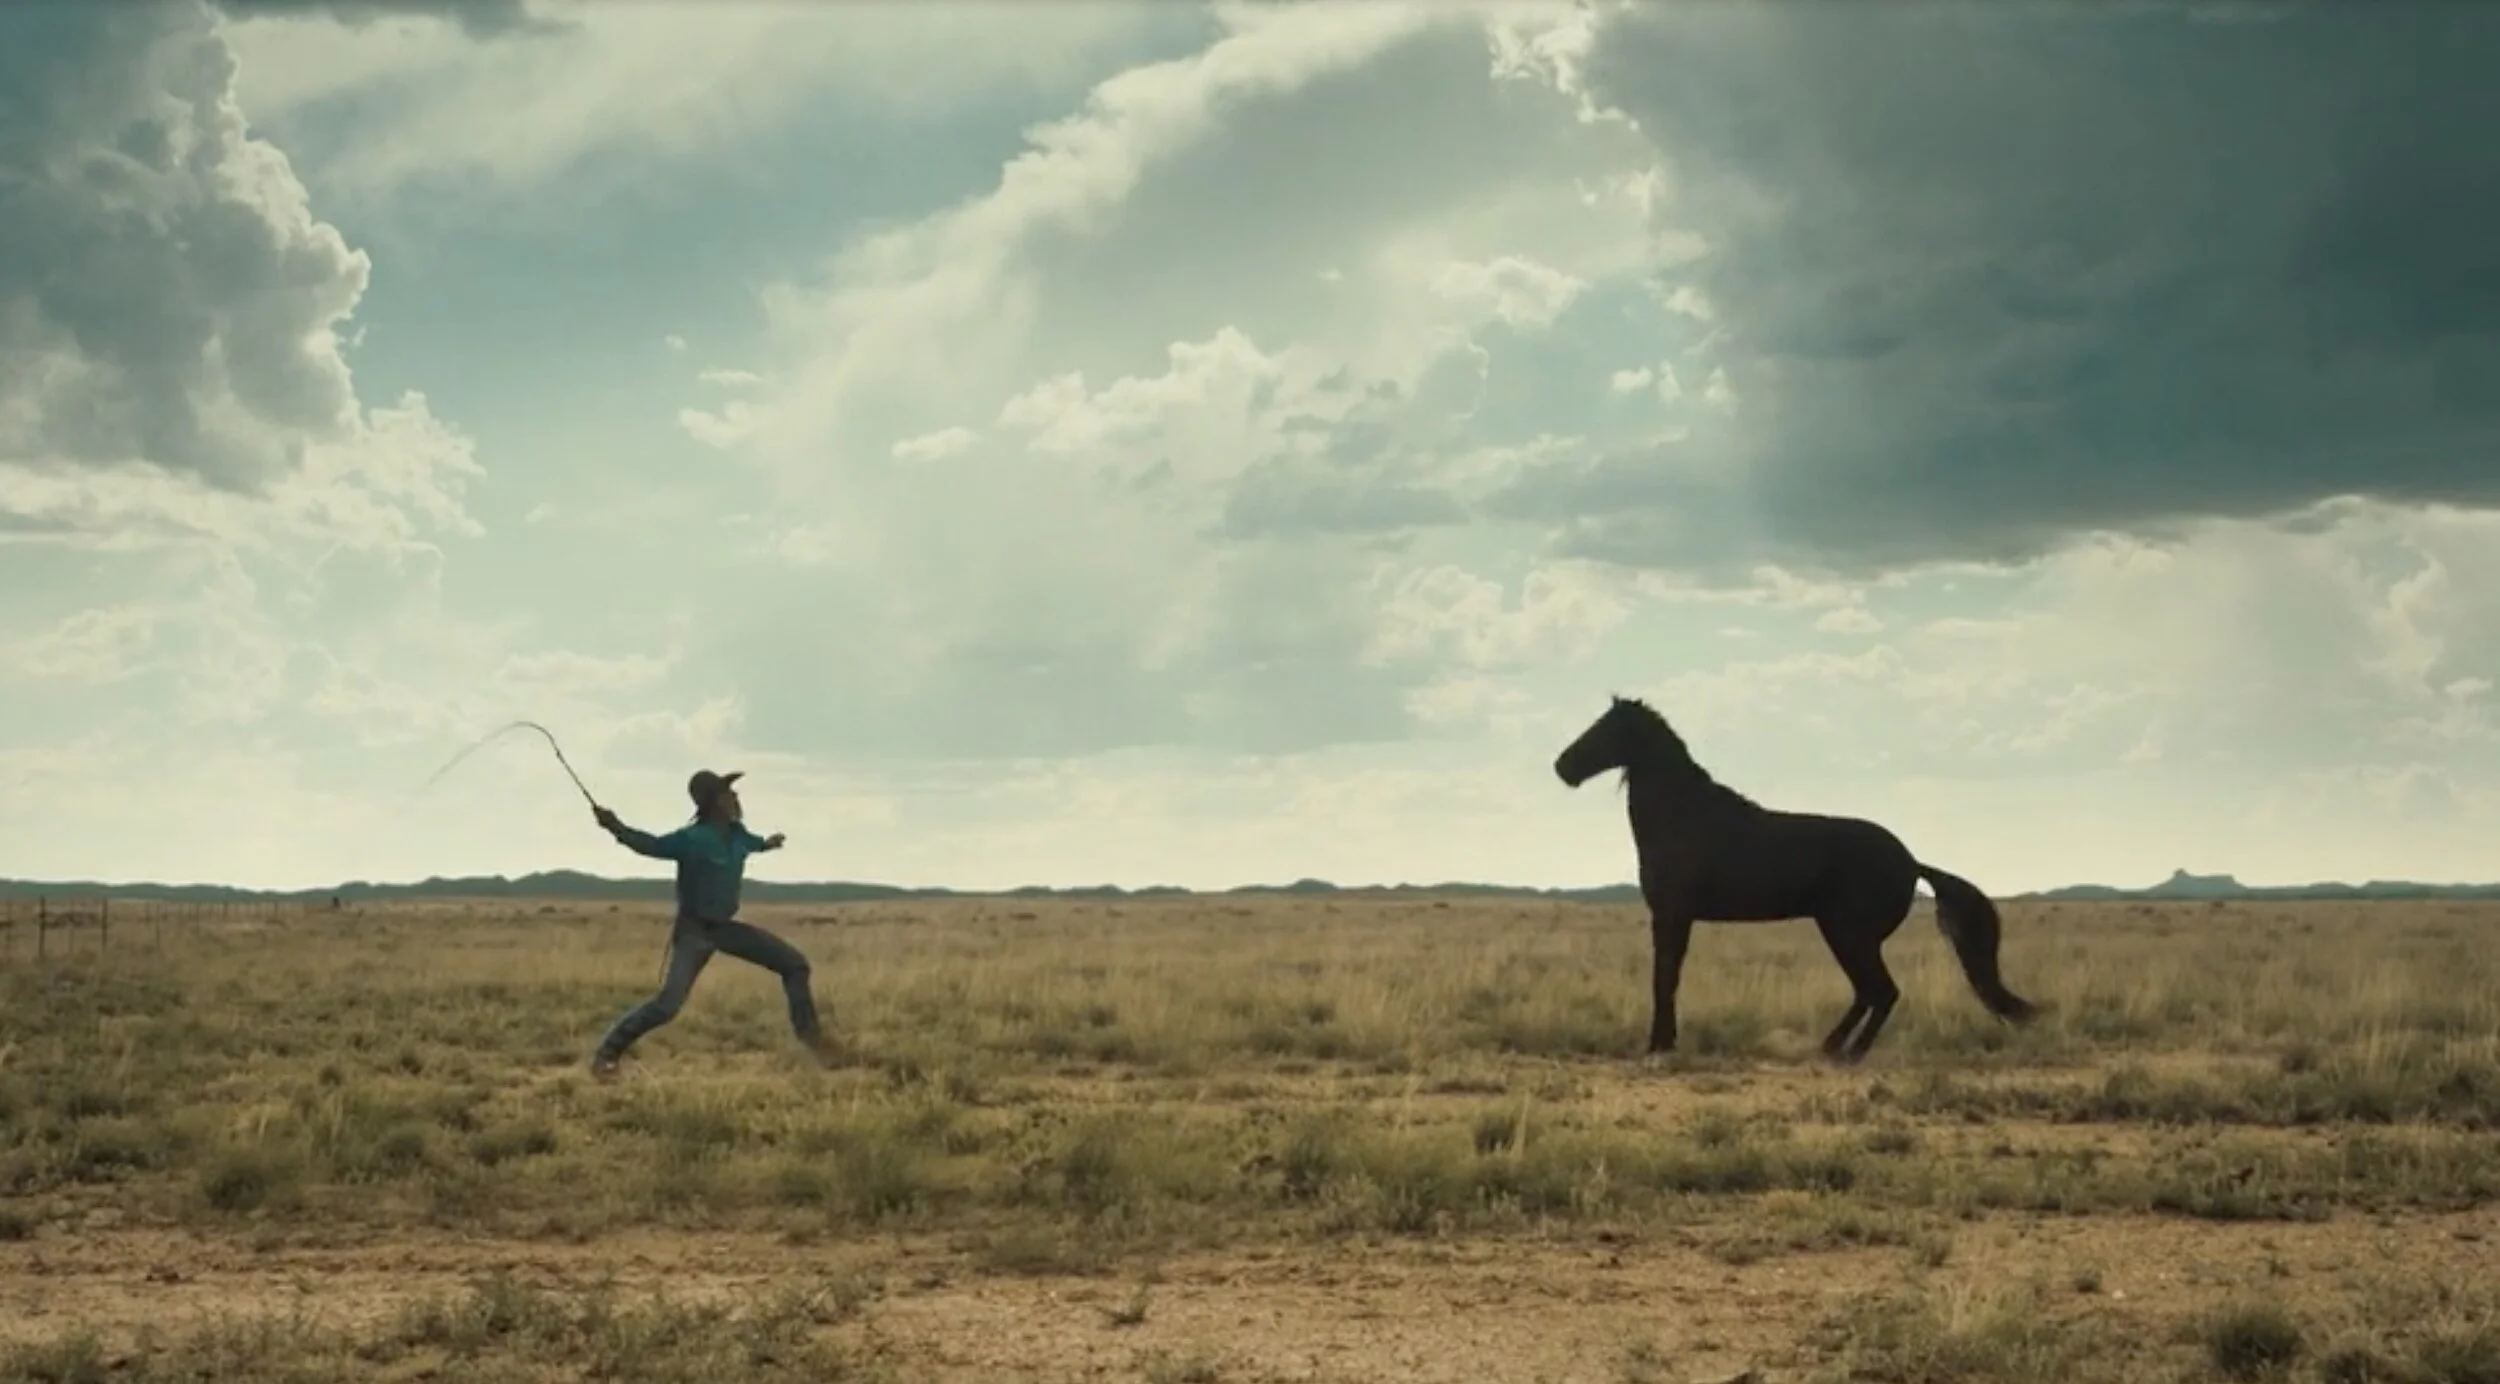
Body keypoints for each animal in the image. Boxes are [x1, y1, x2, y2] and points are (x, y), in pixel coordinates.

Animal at [1553, 694, 2038, 1064]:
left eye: (1604, 728)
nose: (1563, 766)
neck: (1685, 817)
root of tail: (1912, 861)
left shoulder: (1671, 915)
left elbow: (1664, 978)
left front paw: (1658, 1045)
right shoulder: (1676, 918)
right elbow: (1668, 976)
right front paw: (1663, 1042)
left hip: (1849, 934)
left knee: (1882, 992)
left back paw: (1848, 1053)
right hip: (1844, 934)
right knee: (1869, 993)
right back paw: (1832, 1047)